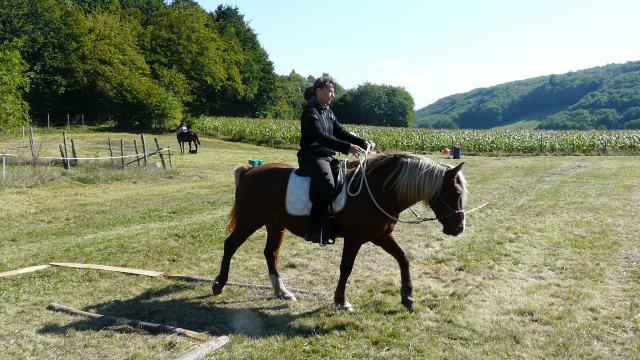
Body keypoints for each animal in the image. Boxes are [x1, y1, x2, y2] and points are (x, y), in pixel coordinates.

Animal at [212, 152, 468, 312]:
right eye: (456, 192)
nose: (458, 228)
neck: (377, 190)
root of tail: (250, 171)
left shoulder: (381, 236)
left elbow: (403, 259)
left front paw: (408, 297)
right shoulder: (355, 238)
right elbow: (346, 267)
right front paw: (341, 301)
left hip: (275, 224)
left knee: (270, 254)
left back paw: (282, 291)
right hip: (250, 221)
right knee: (230, 245)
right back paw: (219, 284)